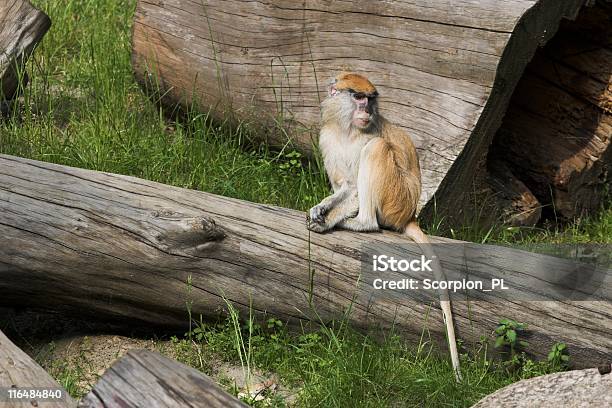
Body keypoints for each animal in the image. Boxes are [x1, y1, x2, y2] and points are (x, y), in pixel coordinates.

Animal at [308, 72, 462, 382]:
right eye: (358, 97)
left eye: (371, 99)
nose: (367, 111)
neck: (347, 129)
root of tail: (409, 215)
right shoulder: (327, 137)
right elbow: (344, 187)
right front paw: (320, 208)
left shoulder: (366, 136)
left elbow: (355, 189)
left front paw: (328, 220)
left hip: (396, 198)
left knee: (376, 149)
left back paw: (361, 223)